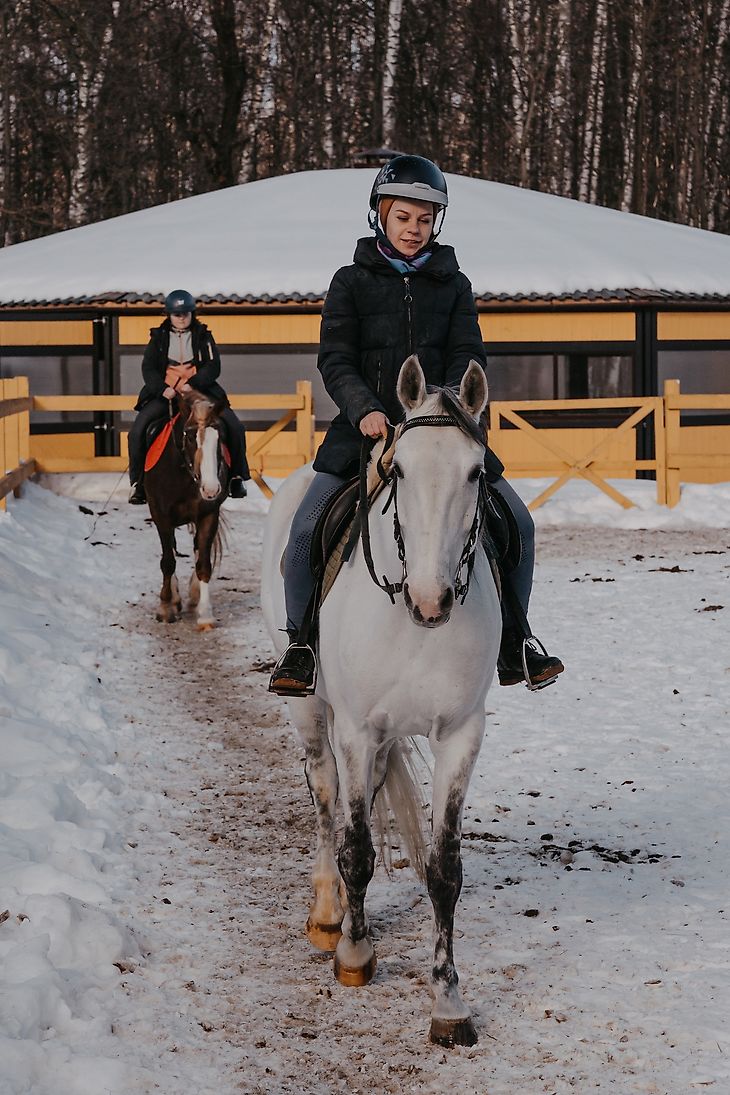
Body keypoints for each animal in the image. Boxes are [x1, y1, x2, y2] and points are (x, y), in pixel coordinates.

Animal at [144, 389, 229, 630]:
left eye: (219, 438)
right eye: (190, 437)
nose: (211, 489)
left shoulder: (209, 514)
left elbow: (204, 564)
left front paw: (205, 614)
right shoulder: (161, 515)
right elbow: (168, 561)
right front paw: (165, 607)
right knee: (171, 551)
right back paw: (174, 598)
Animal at [261, 356, 503, 1042]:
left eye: (476, 472)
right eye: (399, 470)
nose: (430, 598)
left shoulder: (461, 734)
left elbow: (443, 868)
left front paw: (448, 1001)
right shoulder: (355, 729)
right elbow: (357, 846)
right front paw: (354, 951)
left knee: (357, 801)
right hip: (310, 712)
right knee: (326, 801)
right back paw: (327, 913)